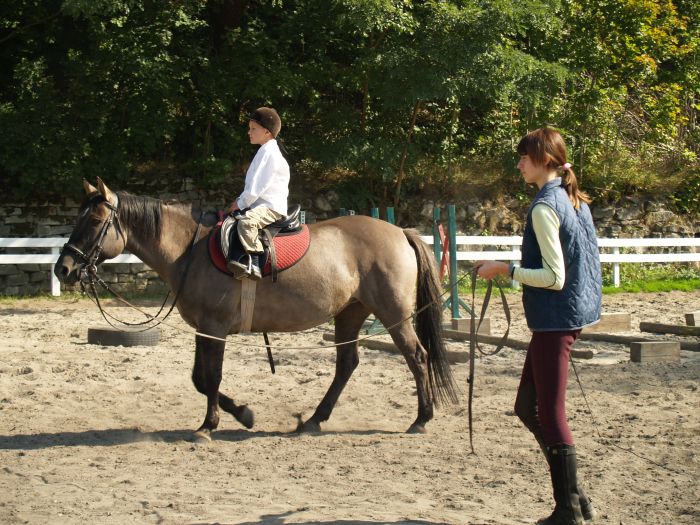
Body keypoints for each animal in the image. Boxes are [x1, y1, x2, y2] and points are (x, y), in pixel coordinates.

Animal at [56, 178, 460, 440]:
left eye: (94, 220)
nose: (64, 268)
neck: (190, 250)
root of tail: (400, 231)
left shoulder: (215, 327)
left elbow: (211, 377)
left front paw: (211, 426)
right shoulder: (203, 328)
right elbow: (199, 379)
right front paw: (241, 414)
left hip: (393, 314)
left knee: (417, 357)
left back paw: (421, 419)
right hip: (350, 313)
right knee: (347, 364)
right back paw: (314, 420)